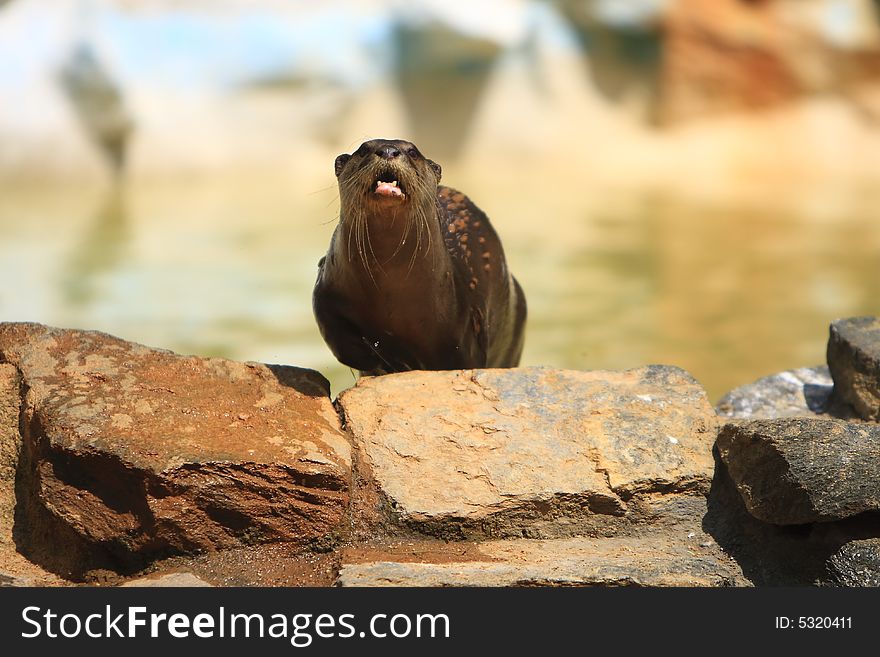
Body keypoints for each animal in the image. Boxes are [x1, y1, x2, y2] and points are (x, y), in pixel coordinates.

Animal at [312, 138, 524, 374]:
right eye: (364, 149)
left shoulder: (463, 327)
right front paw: (391, 361)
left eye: (412, 152)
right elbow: (343, 342)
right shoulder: (327, 295)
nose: (388, 150)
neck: (390, 290)